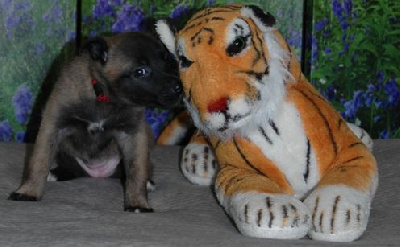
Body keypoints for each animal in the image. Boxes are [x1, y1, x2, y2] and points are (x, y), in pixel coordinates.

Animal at [8, 31, 183, 212]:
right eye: (140, 71)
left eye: (167, 60)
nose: (179, 88)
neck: (102, 96)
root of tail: (97, 174)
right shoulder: (53, 126)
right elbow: (39, 162)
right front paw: (28, 191)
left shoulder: (133, 134)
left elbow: (137, 170)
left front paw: (138, 202)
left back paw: (147, 182)